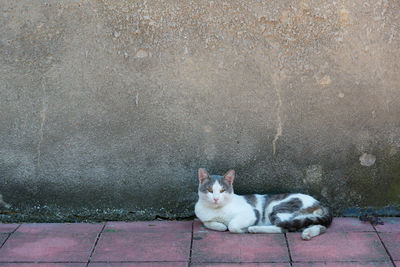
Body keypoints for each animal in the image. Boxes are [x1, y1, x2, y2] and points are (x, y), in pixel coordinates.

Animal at [195, 170, 332, 241]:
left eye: (222, 190)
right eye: (210, 190)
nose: (216, 198)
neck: (216, 210)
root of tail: (318, 202)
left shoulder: (252, 212)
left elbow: (232, 226)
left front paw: (242, 229)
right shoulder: (204, 218)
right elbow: (208, 223)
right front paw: (220, 225)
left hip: (277, 208)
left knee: (283, 227)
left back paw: (254, 229)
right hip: (305, 218)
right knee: (317, 225)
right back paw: (308, 233)